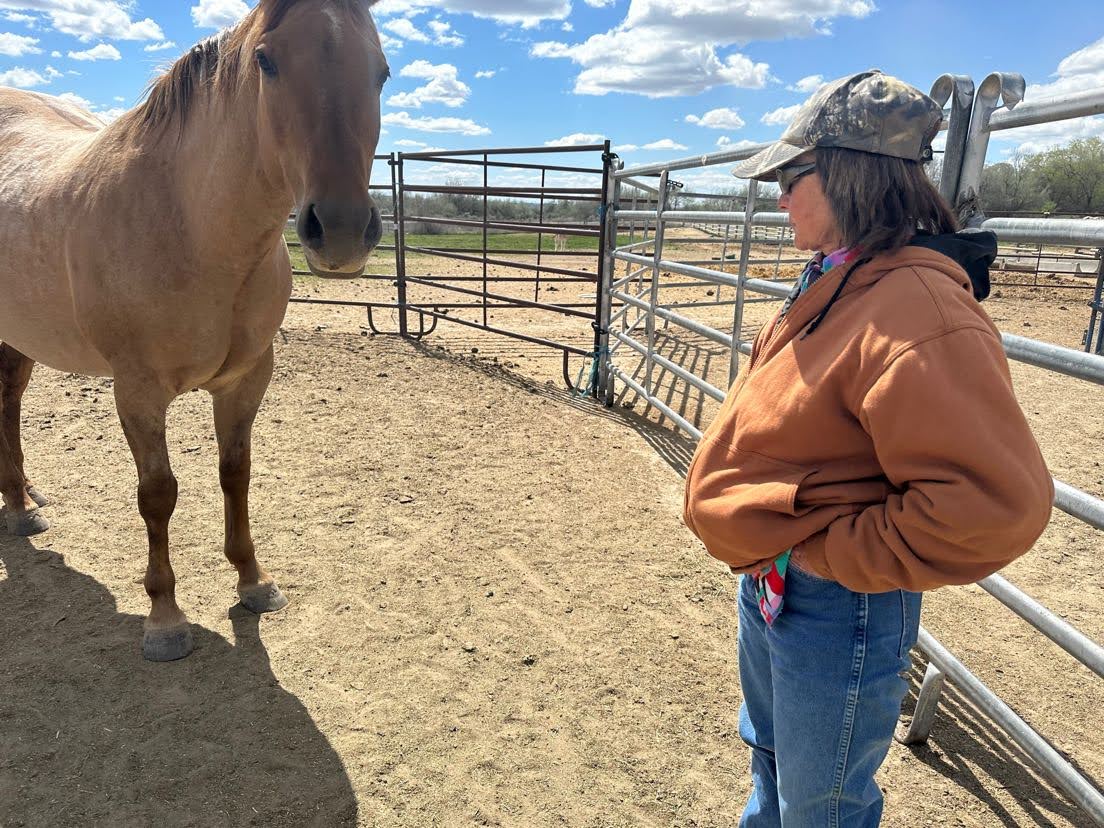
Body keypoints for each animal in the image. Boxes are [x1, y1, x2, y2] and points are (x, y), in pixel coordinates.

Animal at [0, 0, 389, 661]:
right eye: (267, 61)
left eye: (382, 72)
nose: (340, 230)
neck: (190, 223)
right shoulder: (137, 391)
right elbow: (158, 495)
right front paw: (165, 619)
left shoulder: (245, 380)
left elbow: (236, 474)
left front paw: (254, 582)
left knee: (8, 404)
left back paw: (24, 505)